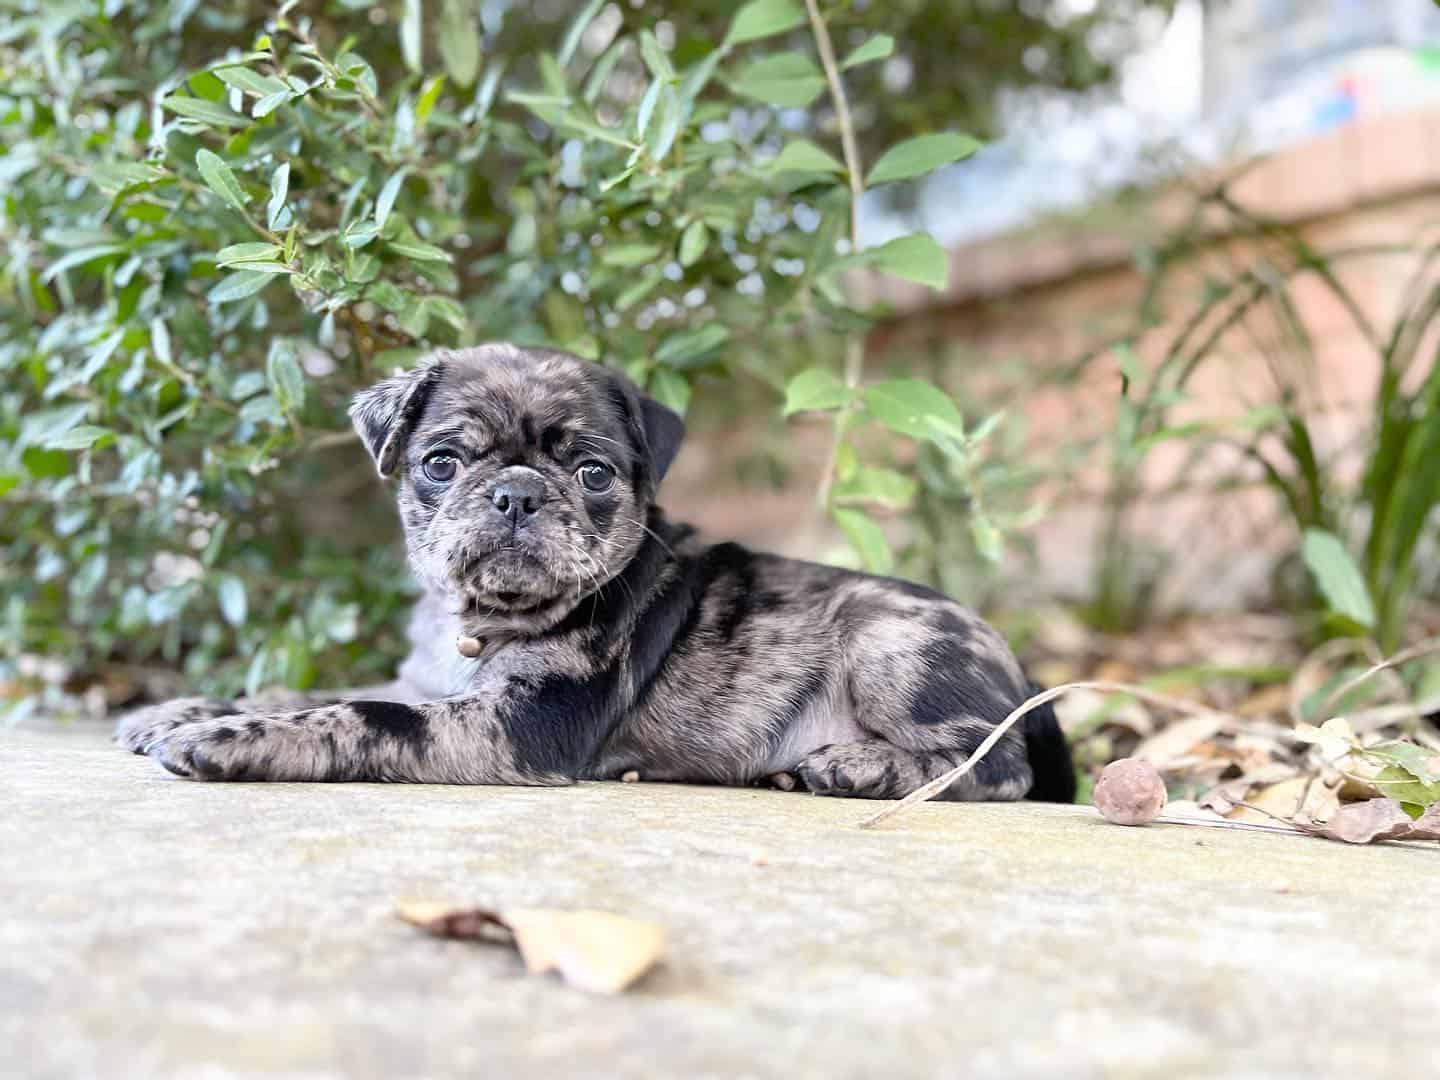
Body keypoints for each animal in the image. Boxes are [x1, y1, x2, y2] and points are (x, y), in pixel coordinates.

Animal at [118, 347, 1077, 806]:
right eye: (440, 464)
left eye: (592, 474)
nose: (515, 494)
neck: (481, 621)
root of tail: (1023, 678)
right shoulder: (430, 684)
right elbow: (314, 688)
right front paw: (188, 707)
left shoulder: (521, 726)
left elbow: (361, 713)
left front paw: (231, 738)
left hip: (889, 641)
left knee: (996, 767)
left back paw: (859, 768)